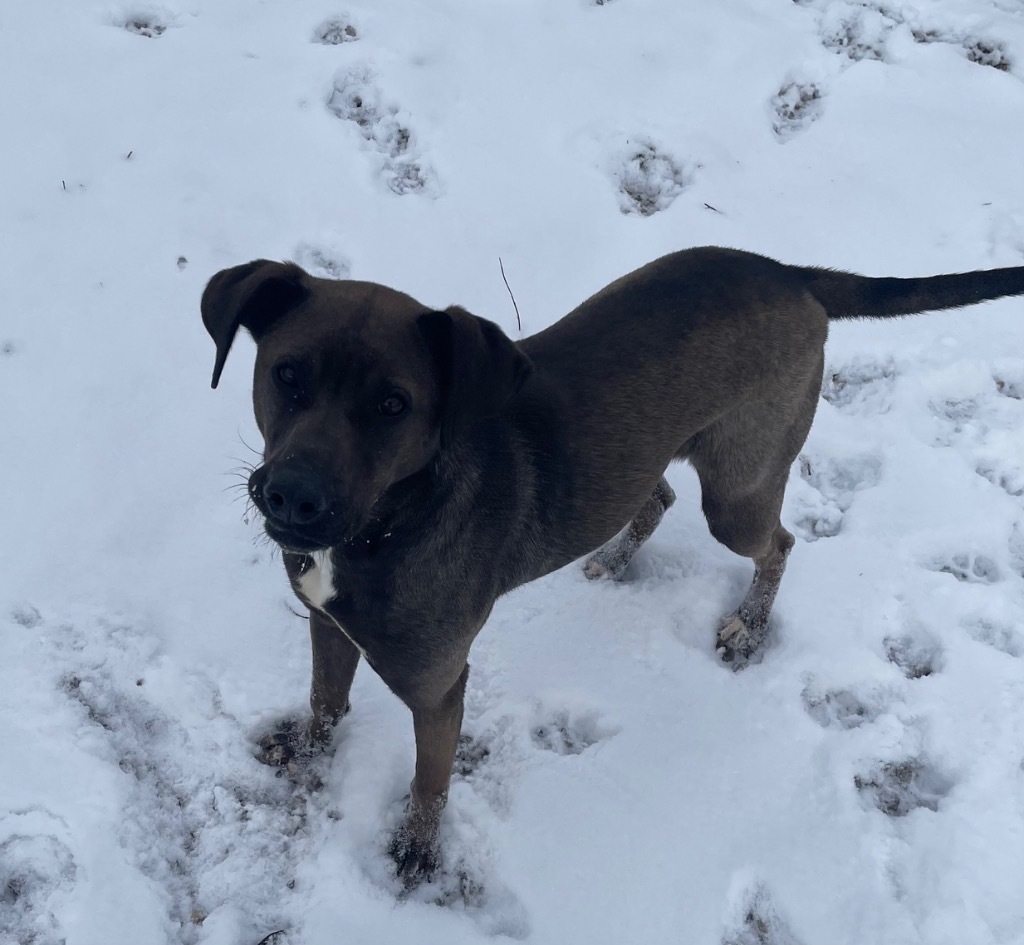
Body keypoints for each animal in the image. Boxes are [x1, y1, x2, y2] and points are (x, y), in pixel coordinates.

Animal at [199, 247, 1024, 884]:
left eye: (394, 405)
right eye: (287, 374)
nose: (292, 495)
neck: (390, 520)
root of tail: (790, 272)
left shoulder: (438, 688)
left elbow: (429, 783)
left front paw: (416, 850)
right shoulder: (325, 619)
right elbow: (325, 698)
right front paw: (308, 748)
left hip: (737, 490)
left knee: (780, 543)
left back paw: (750, 624)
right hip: (653, 459)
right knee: (658, 492)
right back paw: (616, 557)